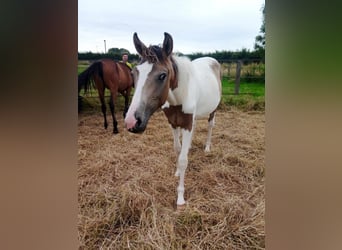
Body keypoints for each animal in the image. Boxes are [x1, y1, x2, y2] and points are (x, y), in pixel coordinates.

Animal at [125, 32, 222, 206]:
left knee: (211, 125)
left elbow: (183, 160)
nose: (132, 122)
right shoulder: (174, 123)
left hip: (213, 110)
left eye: (162, 75)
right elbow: (178, 149)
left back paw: (207, 148)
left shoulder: (187, 123)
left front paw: (180, 198)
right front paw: (177, 171)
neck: (179, 97)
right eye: (133, 73)